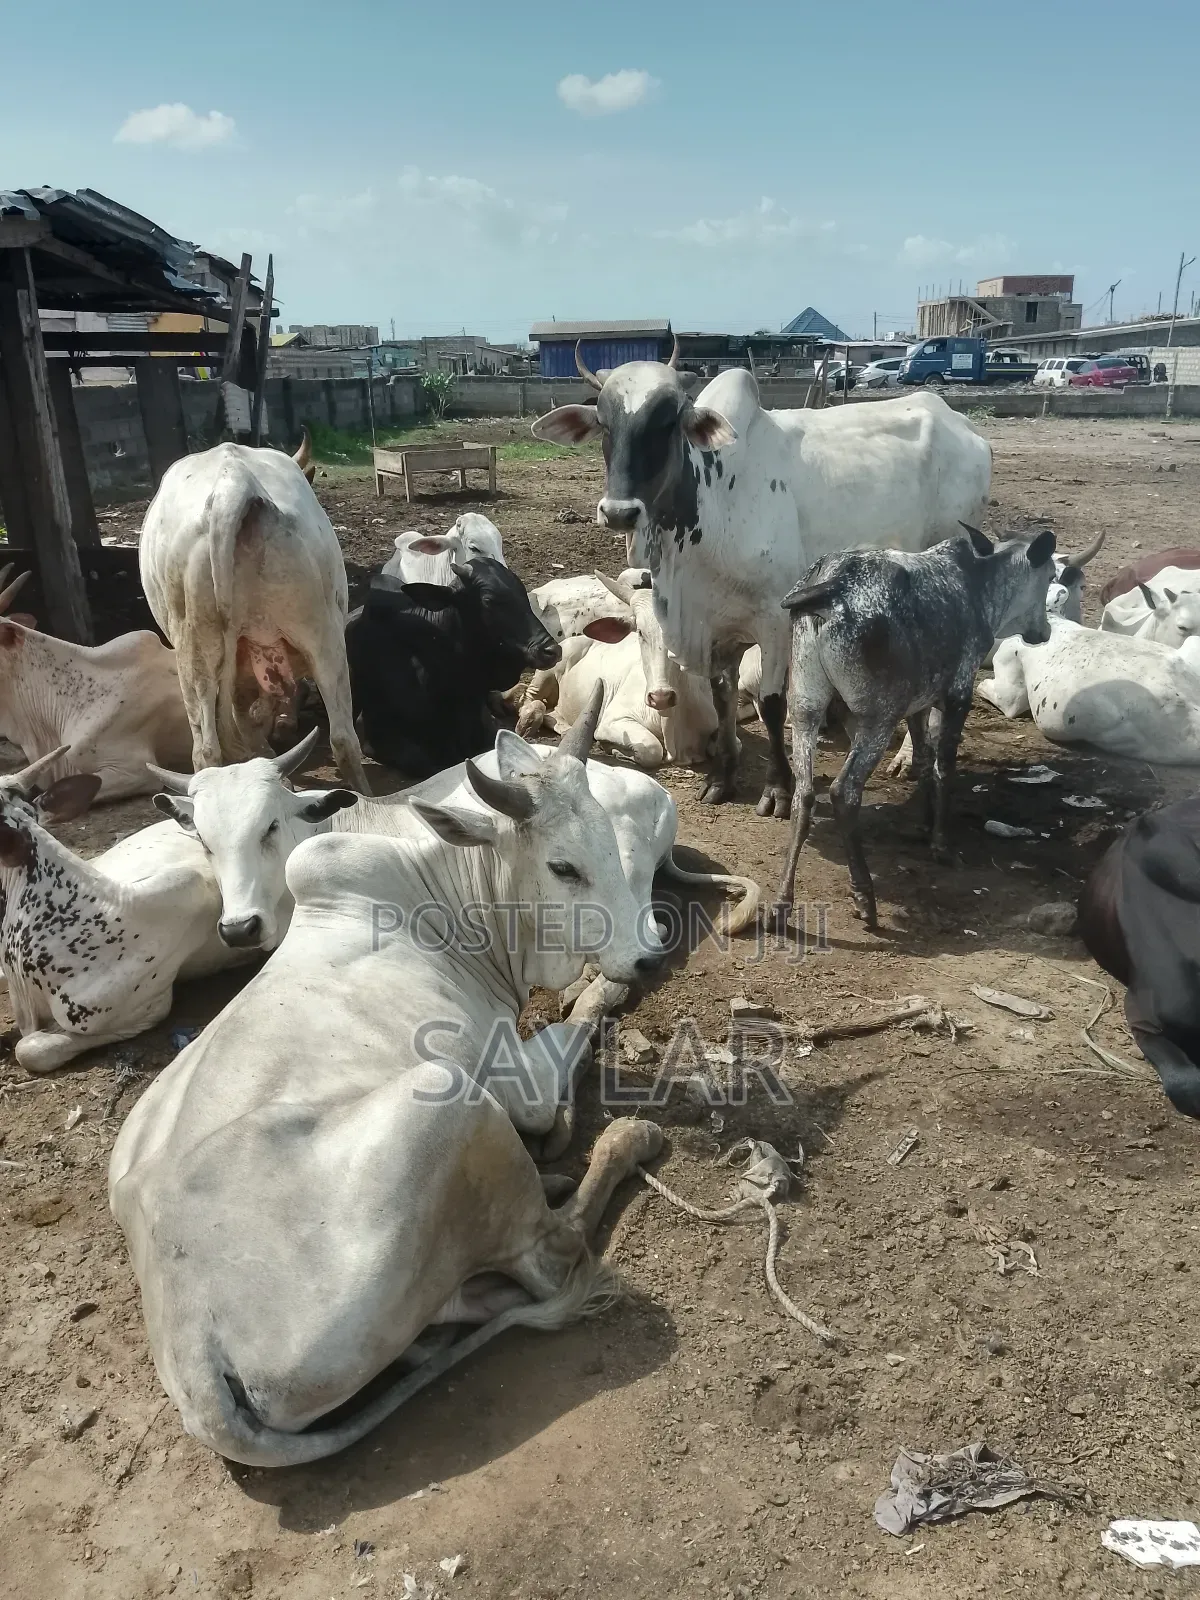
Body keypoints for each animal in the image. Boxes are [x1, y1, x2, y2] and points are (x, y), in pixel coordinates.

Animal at [108, 700, 663, 1466]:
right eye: (563, 867)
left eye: (612, 842)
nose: (647, 956)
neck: (453, 903)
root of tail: (197, 1360)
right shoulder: (518, 1084)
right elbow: (585, 1017)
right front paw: (602, 990)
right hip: (449, 1106)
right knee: (555, 1255)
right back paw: (622, 1141)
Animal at [531, 341, 992, 816]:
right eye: (603, 423)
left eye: (668, 421)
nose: (619, 512)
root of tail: (959, 422)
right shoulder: (717, 630)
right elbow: (723, 698)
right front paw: (721, 779)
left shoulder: (773, 621)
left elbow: (772, 706)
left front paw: (778, 790)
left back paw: (913, 758)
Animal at [773, 528, 1055, 930]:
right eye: (1050, 576)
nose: (1043, 631)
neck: (977, 587)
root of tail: (830, 584)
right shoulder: (957, 694)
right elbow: (943, 766)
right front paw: (940, 843)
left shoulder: (918, 704)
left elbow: (921, 758)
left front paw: (922, 825)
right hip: (878, 717)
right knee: (843, 792)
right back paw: (864, 895)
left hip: (805, 708)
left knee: (805, 794)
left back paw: (782, 901)